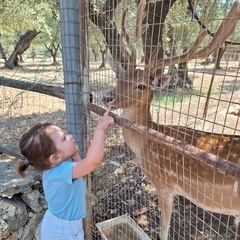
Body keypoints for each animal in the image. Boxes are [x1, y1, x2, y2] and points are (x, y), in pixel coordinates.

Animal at [102, 0, 240, 239]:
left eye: (141, 85)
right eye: (120, 76)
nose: (108, 97)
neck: (144, 146)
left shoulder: (164, 185)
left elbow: (164, 231)